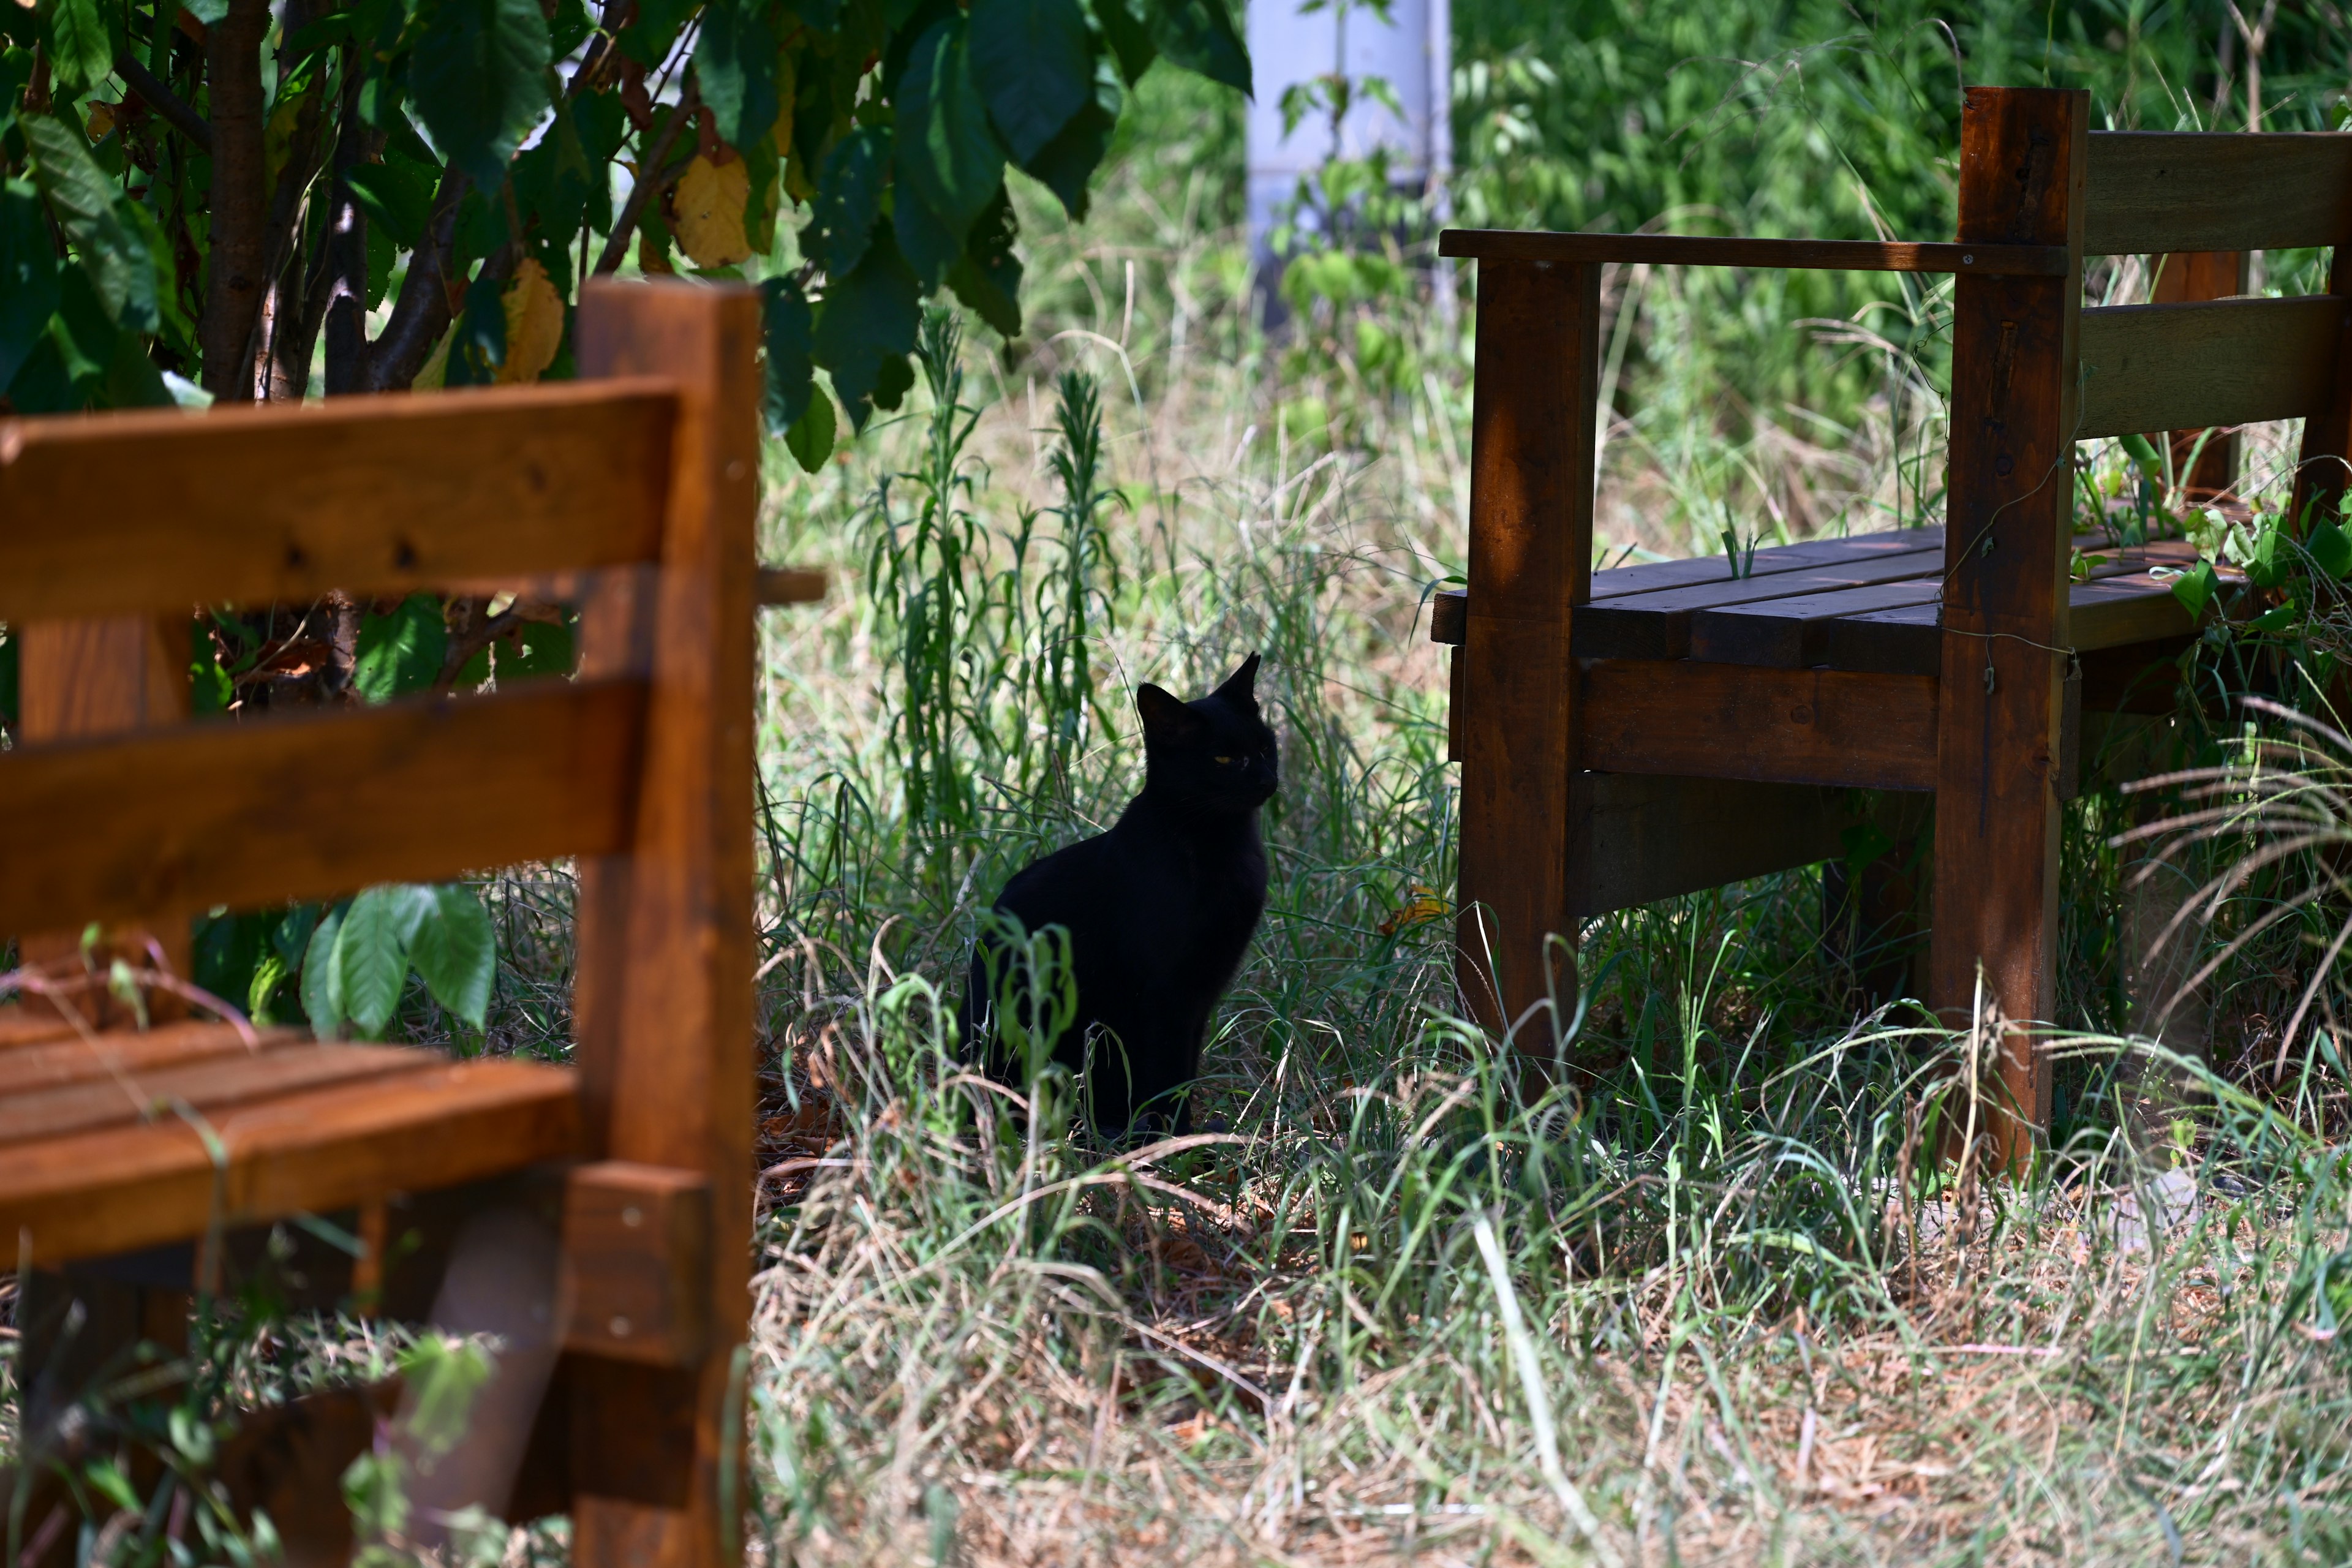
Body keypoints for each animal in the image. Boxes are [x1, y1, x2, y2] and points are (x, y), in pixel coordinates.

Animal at [959, 653, 1279, 1142]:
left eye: (1265, 747)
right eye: (1225, 759)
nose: (1267, 779)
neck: (1222, 844)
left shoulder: (1202, 993)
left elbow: (1186, 1067)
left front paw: (1188, 1137)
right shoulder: (1167, 993)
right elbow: (1168, 1073)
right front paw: (1177, 1143)